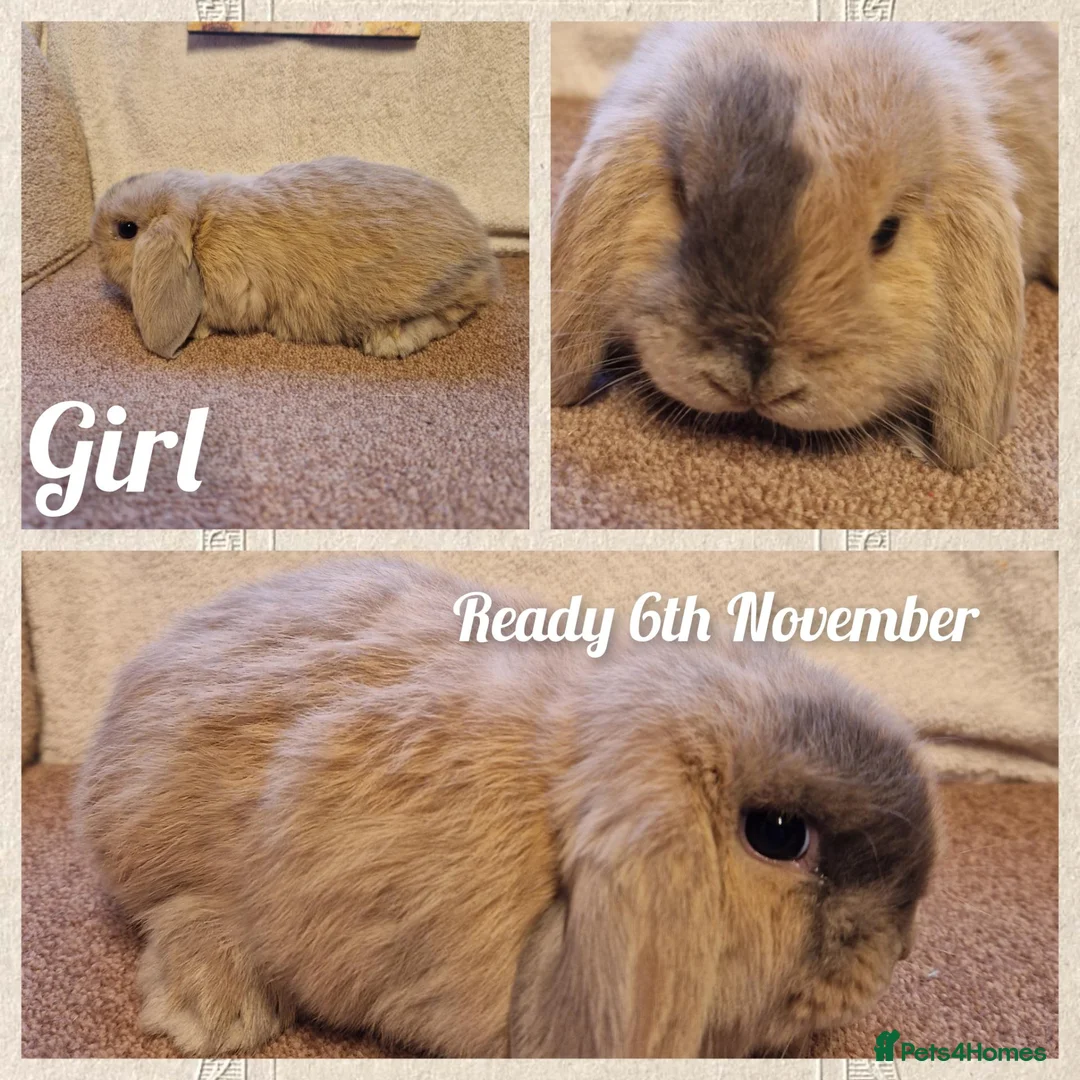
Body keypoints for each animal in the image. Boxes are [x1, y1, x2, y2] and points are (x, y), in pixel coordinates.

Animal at [90, 156, 500, 360]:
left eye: (127, 229)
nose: (95, 252)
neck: (199, 227)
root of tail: (483, 259)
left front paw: (196, 331)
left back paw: (387, 342)